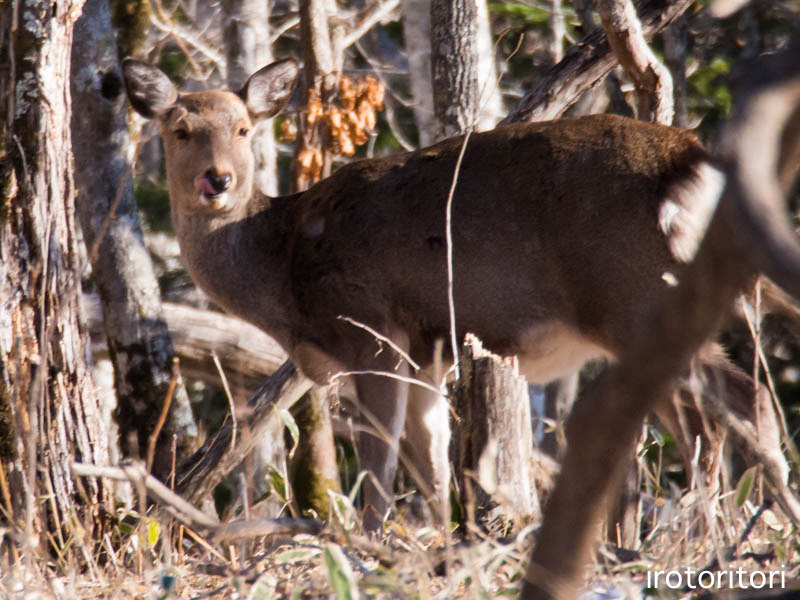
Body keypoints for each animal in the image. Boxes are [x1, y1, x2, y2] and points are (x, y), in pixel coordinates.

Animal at [122, 54, 792, 528]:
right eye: (181, 130)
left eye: (241, 128)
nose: (217, 180)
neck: (283, 270)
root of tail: (689, 157)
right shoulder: (426, 356)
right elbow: (432, 469)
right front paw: (442, 547)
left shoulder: (370, 334)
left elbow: (379, 467)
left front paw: (371, 548)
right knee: (730, 408)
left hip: (630, 295)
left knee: (724, 410)